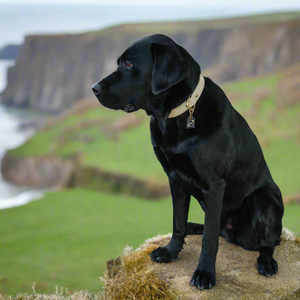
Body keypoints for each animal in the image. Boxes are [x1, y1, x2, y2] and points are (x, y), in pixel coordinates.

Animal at [91, 34, 284, 290]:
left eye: (129, 64)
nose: (94, 88)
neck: (178, 114)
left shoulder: (214, 185)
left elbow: (209, 239)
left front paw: (204, 273)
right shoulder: (175, 178)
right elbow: (178, 222)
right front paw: (170, 252)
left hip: (263, 200)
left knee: (266, 241)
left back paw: (266, 261)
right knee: (212, 228)